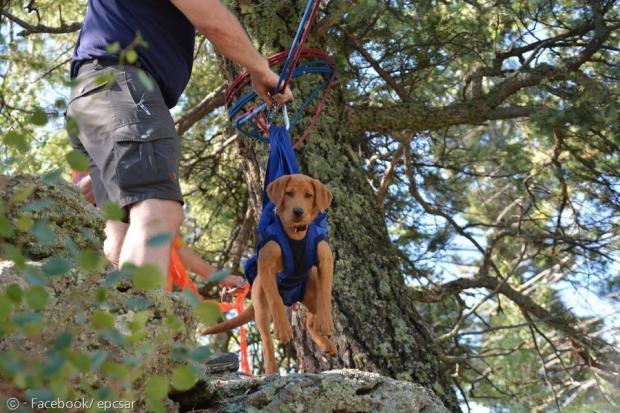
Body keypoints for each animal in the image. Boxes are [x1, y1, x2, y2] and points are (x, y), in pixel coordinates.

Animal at [205, 174, 336, 374]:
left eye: (309, 195)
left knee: (310, 321)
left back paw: (326, 343)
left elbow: (326, 293)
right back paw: (271, 368)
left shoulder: (326, 260)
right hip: (260, 303)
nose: (298, 211)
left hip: (310, 295)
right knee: (266, 337)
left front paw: (326, 320)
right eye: (289, 193)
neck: (295, 235)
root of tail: (293, 297)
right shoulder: (266, 267)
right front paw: (283, 327)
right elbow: (275, 298)